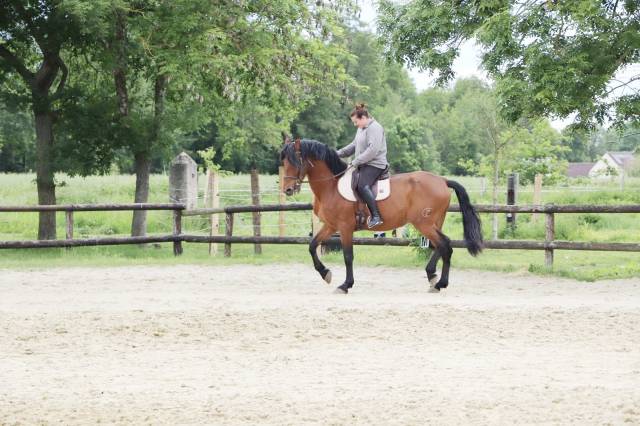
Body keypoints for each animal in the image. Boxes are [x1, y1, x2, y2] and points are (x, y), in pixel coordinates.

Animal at [280, 138, 483, 294]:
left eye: (295, 162)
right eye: (283, 163)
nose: (288, 190)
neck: (331, 186)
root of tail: (442, 180)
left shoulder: (345, 227)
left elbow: (348, 256)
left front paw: (345, 285)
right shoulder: (331, 226)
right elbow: (312, 245)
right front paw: (325, 274)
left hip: (424, 223)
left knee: (444, 245)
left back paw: (440, 283)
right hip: (434, 223)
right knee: (441, 246)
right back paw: (433, 277)